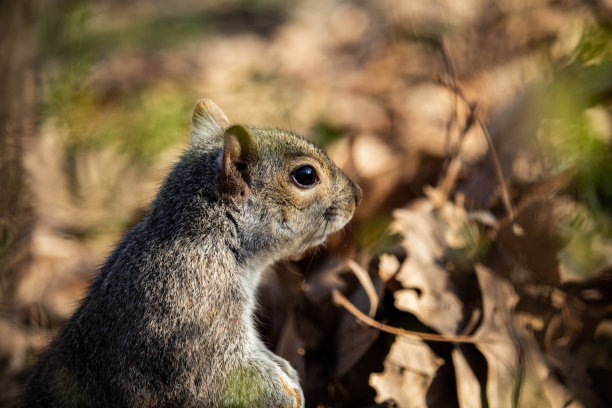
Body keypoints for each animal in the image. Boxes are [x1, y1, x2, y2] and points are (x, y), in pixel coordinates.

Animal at [21, 99, 360, 408]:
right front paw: (287, 394)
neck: (211, 236)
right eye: (305, 175)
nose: (357, 196)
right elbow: (224, 376)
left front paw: (288, 371)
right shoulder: (193, 312)